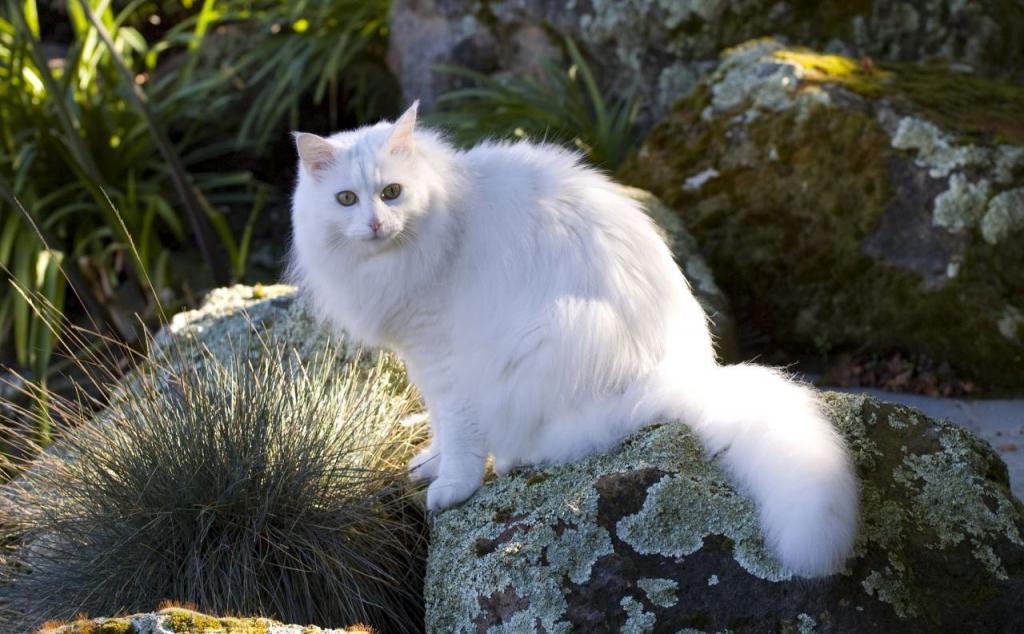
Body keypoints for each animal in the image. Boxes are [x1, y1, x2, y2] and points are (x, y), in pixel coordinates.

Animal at [288, 101, 856, 577]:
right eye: (346, 199)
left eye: (392, 193)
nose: (375, 224)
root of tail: (688, 377)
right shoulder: (421, 357)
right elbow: (442, 423)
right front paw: (430, 461)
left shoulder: (448, 357)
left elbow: (461, 431)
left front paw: (452, 485)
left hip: (551, 338)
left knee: (566, 437)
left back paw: (514, 456)